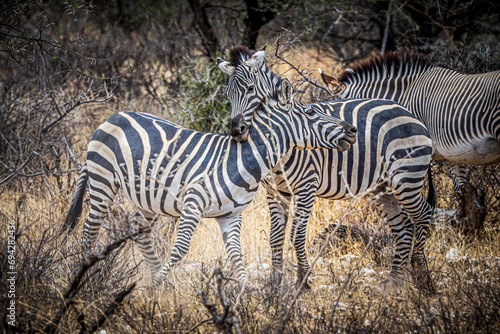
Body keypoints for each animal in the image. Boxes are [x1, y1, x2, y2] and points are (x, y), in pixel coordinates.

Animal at [60, 85, 358, 284]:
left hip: (146, 196)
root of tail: (114, 115)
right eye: (310, 112)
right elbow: (180, 248)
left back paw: (158, 278)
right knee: (89, 232)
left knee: (139, 229)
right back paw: (84, 276)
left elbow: (236, 255)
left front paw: (246, 295)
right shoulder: (192, 203)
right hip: (103, 180)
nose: (353, 130)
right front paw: (155, 286)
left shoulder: (231, 214)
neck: (245, 161)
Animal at [217, 45, 436, 290]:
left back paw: (422, 276)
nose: (236, 131)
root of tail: (408, 112)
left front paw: (303, 281)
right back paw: (393, 282)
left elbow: (297, 234)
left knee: (423, 214)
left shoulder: (306, 187)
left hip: (406, 178)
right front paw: (275, 283)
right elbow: (276, 236)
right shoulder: (275, 191)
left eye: (250, 89)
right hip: (383, 187)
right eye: (228, 94)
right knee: (403, 226)